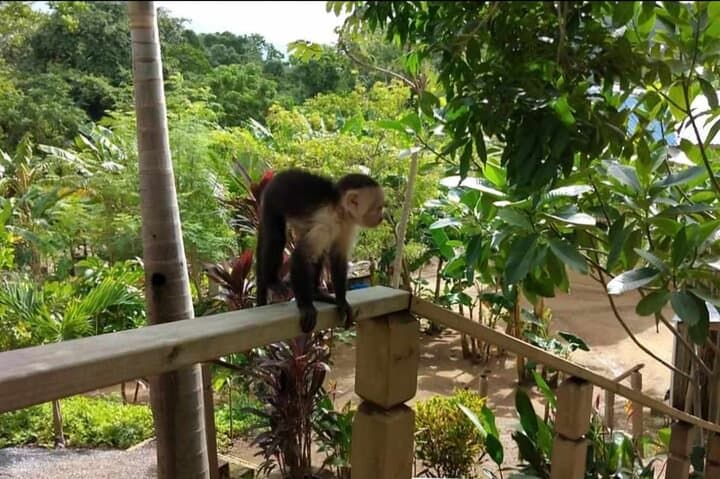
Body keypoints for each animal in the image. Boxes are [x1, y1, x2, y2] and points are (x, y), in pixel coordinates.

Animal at [255, 168, 385, 333]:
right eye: (378, 208)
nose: (382, 217)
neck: (339, 211)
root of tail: (281, 174)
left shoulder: (348, 225)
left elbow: (338, 257)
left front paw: (342, 302)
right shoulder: (326, 222)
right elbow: (300, 256)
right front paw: (306, 306)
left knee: (318, 252)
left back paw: (316, 293)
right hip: (273, 199)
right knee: (276, 238)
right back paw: (272, 281)